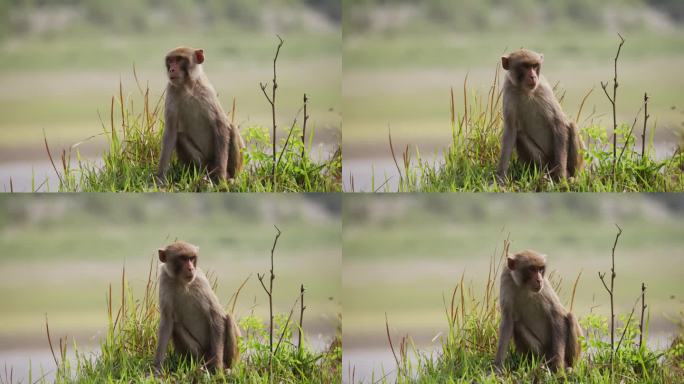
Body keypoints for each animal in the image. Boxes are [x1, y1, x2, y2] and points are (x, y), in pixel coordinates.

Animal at [154, 242, 240, 374]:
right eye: (183, 258)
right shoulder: (165, 280)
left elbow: (216, 315)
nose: (190, 268)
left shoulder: (200, 281)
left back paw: (227, 367)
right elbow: (167, 321)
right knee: (176, 325)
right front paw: (157, 368)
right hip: (201, 353)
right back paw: (200, 366)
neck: (182, 283)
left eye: (191, 258)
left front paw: (217, 367)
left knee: (228, 318)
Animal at [156, 46, 244, 184]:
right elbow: (171, 131)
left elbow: (220, 124)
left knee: (232, 129)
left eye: (179, 59)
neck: (188, 86)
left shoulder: (207, 92)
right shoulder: (171, 90)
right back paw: (204, 174)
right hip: (204, 162)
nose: (171, 69)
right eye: (170, 60)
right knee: (180, 137)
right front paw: (160, 178)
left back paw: (229, 176)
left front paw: (221, 176)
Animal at [494, 49, 584, 182]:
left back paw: (571, 176)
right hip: (546, 162)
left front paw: (561, 175)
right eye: (525, 66)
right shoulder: (509, 90)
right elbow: (511, 131)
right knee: (520, 135)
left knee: (571, 125)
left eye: (534, 66)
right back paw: (543, 174)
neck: (526, 92)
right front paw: (500, 178)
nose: (533, 76)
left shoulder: (543, 89)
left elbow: (559, 123)